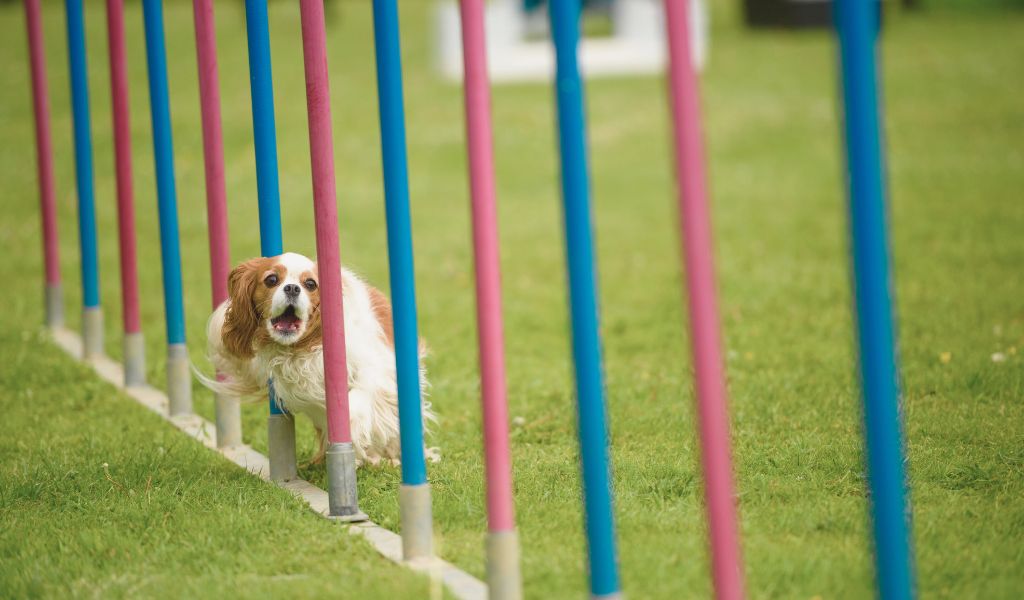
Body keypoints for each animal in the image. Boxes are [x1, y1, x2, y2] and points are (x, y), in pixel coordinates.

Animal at [201, 249, 434, 464]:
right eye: (271, 279)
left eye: (311, 284)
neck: (304, 346)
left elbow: (359, 398)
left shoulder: (378, 369)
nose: (292, 288)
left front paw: (352, 428)